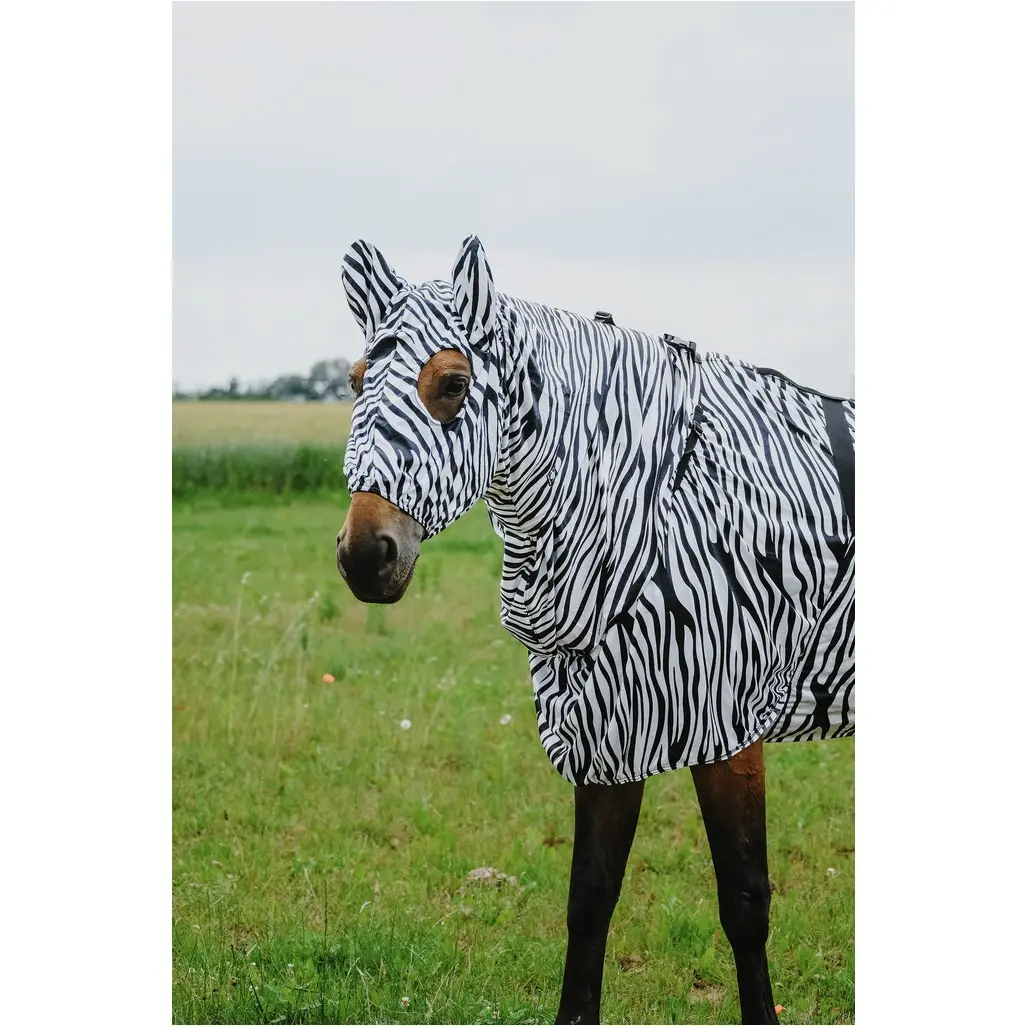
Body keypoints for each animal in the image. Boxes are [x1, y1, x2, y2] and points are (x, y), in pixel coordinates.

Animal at [336, 235, 854, 1025]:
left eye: (453, 383)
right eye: (356, 378)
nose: (365, 557)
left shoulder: (725, 722)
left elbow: (744, 901)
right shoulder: (604, 724)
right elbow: (590, 898)